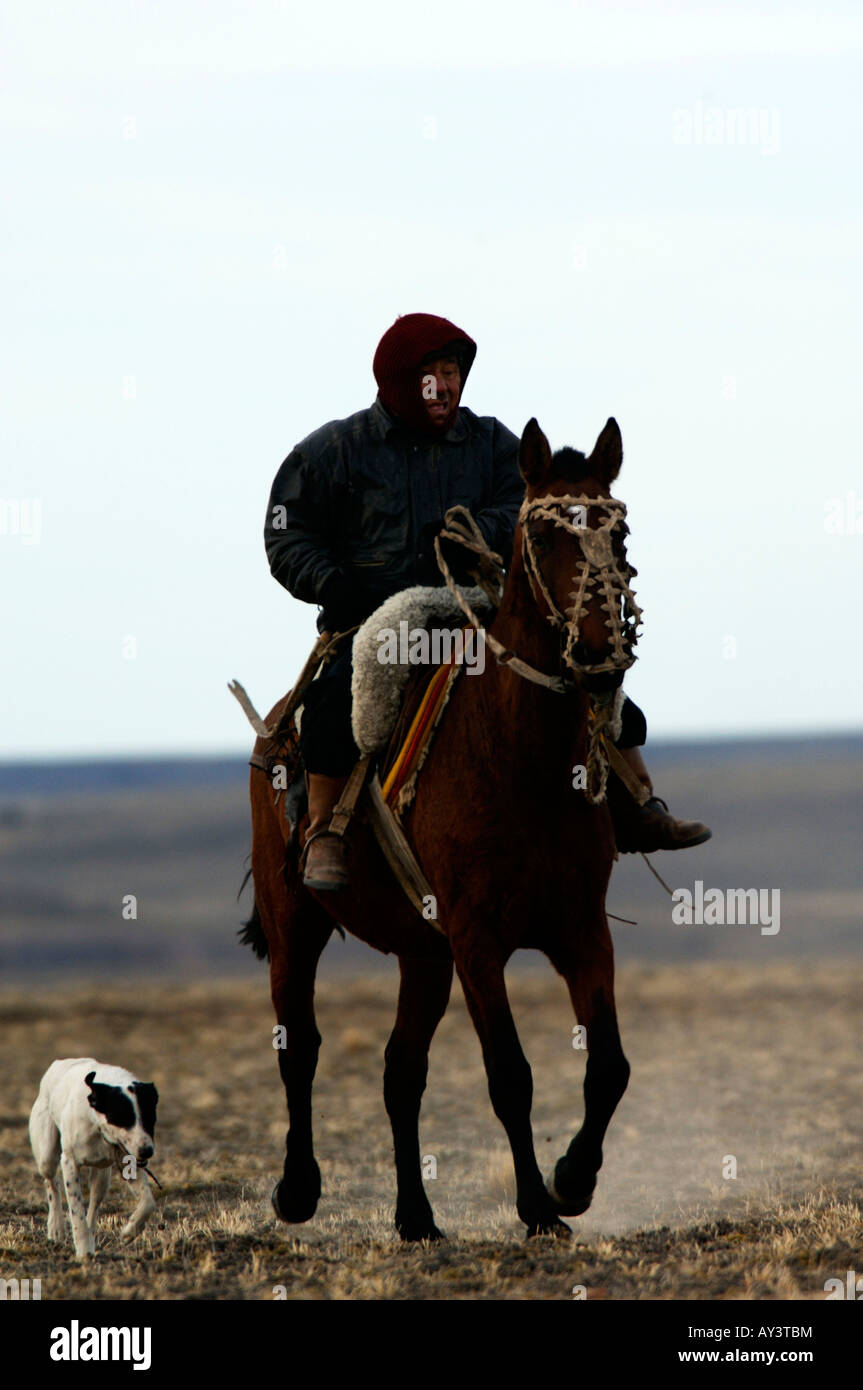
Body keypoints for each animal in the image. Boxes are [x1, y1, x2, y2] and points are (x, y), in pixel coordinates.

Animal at [29, 1061, 159, 1262]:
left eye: (150, 1118)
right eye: (122, 1118)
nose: (147, 1151)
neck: (97, 1125)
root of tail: (57, 1064)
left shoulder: (126, 1160)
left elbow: (148, 1203)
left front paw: (130, 1231)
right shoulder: (70, 1163)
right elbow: (76, 1212)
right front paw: (84, 1250)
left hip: (102, 1178)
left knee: (94, 1203)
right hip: (46, 1156)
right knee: (52, 1184)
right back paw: (56, 1228)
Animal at [245, 411, 636, 1239]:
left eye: (616, 533)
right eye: (542, 535)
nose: (598, 652)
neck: (521, 762)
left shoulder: (580, 929)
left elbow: (609, 1066)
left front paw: (572, 1180)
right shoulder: (478, 940)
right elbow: (510, 1075)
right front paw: (538, 1207)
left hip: (421, 954)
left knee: (401, 1072)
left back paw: (416, 1218)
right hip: (294, 921)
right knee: (300, 1049)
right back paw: (297, 1191)